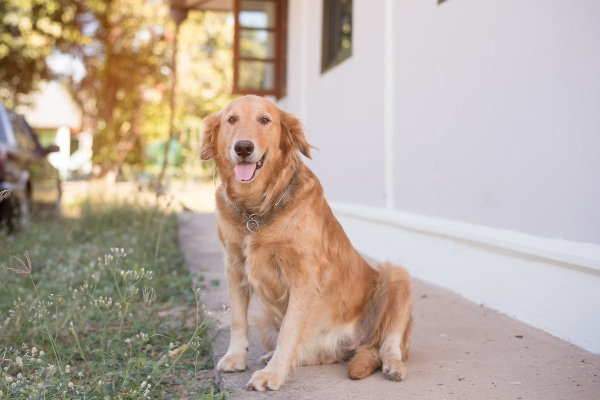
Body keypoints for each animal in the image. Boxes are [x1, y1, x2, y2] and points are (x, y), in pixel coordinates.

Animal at [202, 94, 412, 390]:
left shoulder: (305, 274)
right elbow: (237, 319)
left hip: (397, 277)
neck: (256, 210)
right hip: (264, 316)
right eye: (231, 119)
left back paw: (393, 365)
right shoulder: (234, 266)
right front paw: (236, 357)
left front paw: (273, 374)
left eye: (265, 120)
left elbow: (289, 329)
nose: (243, 147)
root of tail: (355, 345)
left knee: (389, 344)